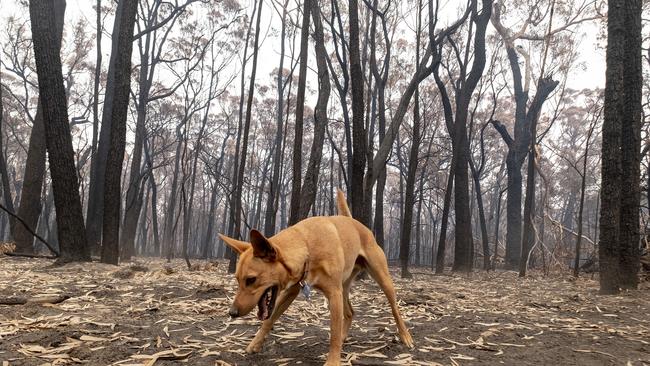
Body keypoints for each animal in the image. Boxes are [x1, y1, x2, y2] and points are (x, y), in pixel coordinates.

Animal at [218, 190, 410, 364]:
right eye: (237, 279)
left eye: (251, 279)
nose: (232, 313)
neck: (307, 246)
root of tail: (354, 222)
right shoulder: (291, 291)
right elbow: (269, 320)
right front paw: (255, 344)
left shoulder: (333, 294)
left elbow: (333, 333)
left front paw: (333, 361)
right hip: (344, 288)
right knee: (350, 312)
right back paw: (345, 336)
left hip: (381, 278)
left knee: (395, 308)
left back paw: (405, 336)